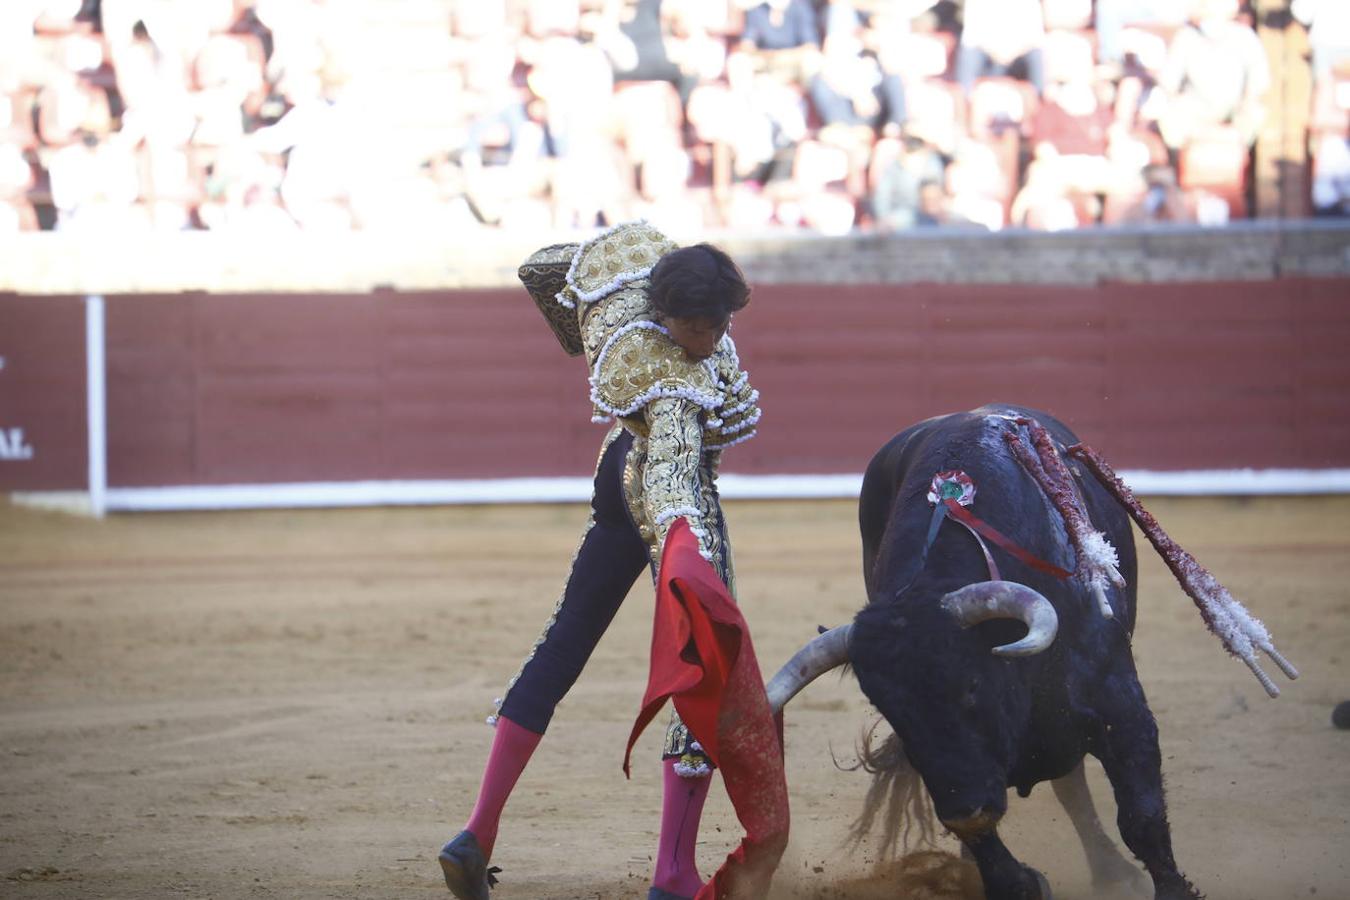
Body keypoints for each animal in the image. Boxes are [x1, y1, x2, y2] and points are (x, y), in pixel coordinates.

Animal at [772, 407, 1204, 900]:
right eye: (891, 711)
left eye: (972, 685)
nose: (967, 809)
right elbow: (987, 842)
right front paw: (1016, 881)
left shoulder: (1123, 710)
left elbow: (1142, 818)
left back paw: (1112, 872)